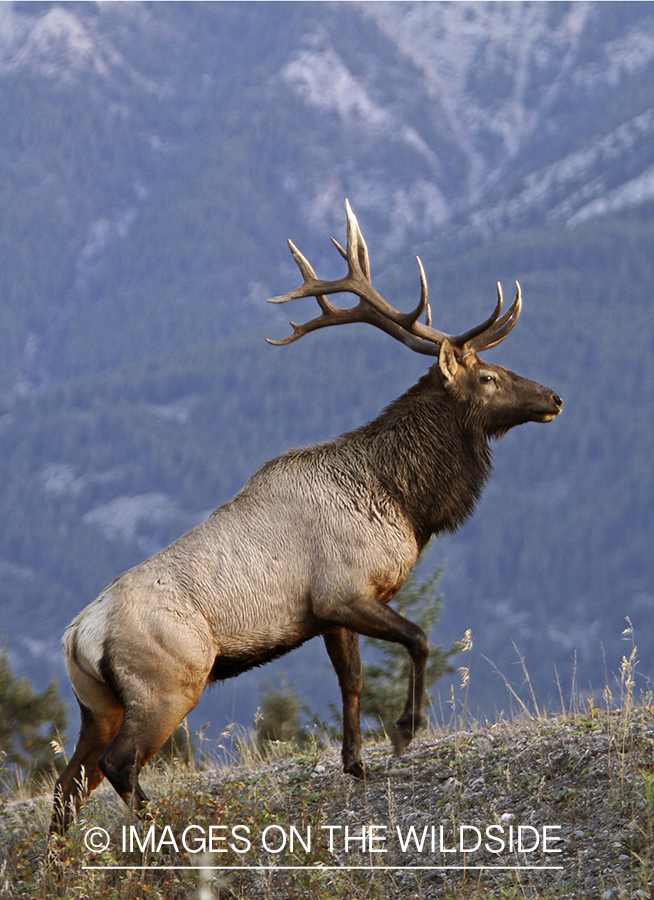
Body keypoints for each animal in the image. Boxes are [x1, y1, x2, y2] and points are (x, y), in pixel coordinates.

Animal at [51, 200, 564, 832]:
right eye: (488, 376)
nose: (554, 397)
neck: (402, 503)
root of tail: (77, 637)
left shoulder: (328, 613)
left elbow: (353, 681)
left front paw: (356, 764)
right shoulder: (342, 591)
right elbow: (418, 640)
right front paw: (404, 731)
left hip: (96, 705)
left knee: (67, 788)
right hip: (167, 683)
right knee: (119, 766)